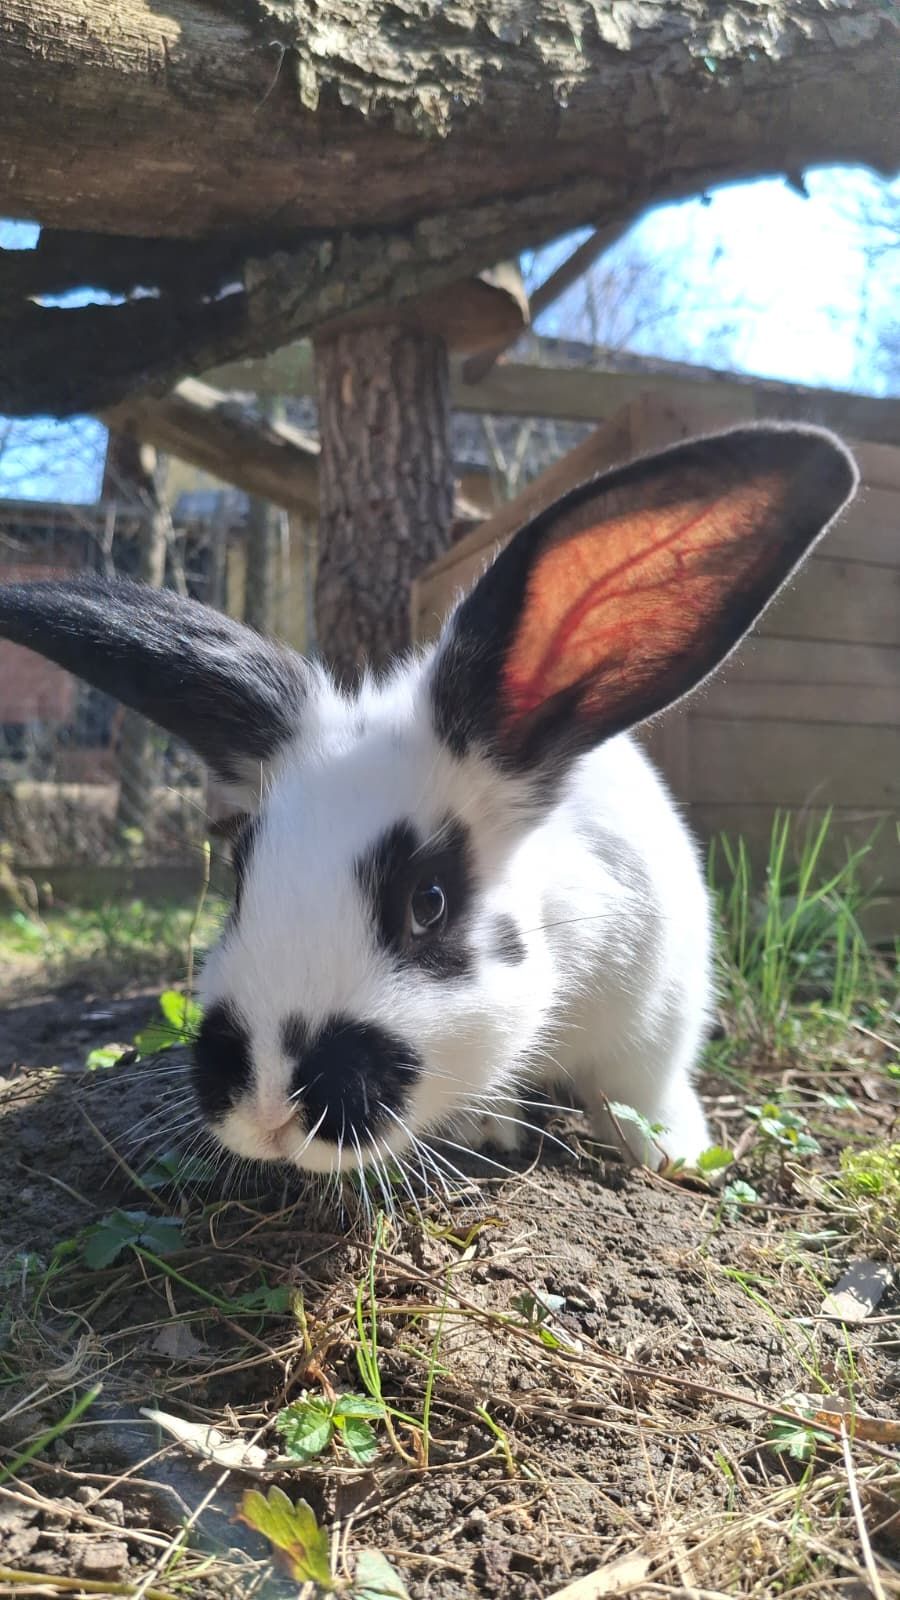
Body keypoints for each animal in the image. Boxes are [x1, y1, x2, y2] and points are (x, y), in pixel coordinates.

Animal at [0, 425, 857, 1185]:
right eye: (240, 882)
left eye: (430, 903)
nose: (269, 1111)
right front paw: (484, 1125)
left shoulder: (656, 1020)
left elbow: (644, 1092)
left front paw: (672, 1155)